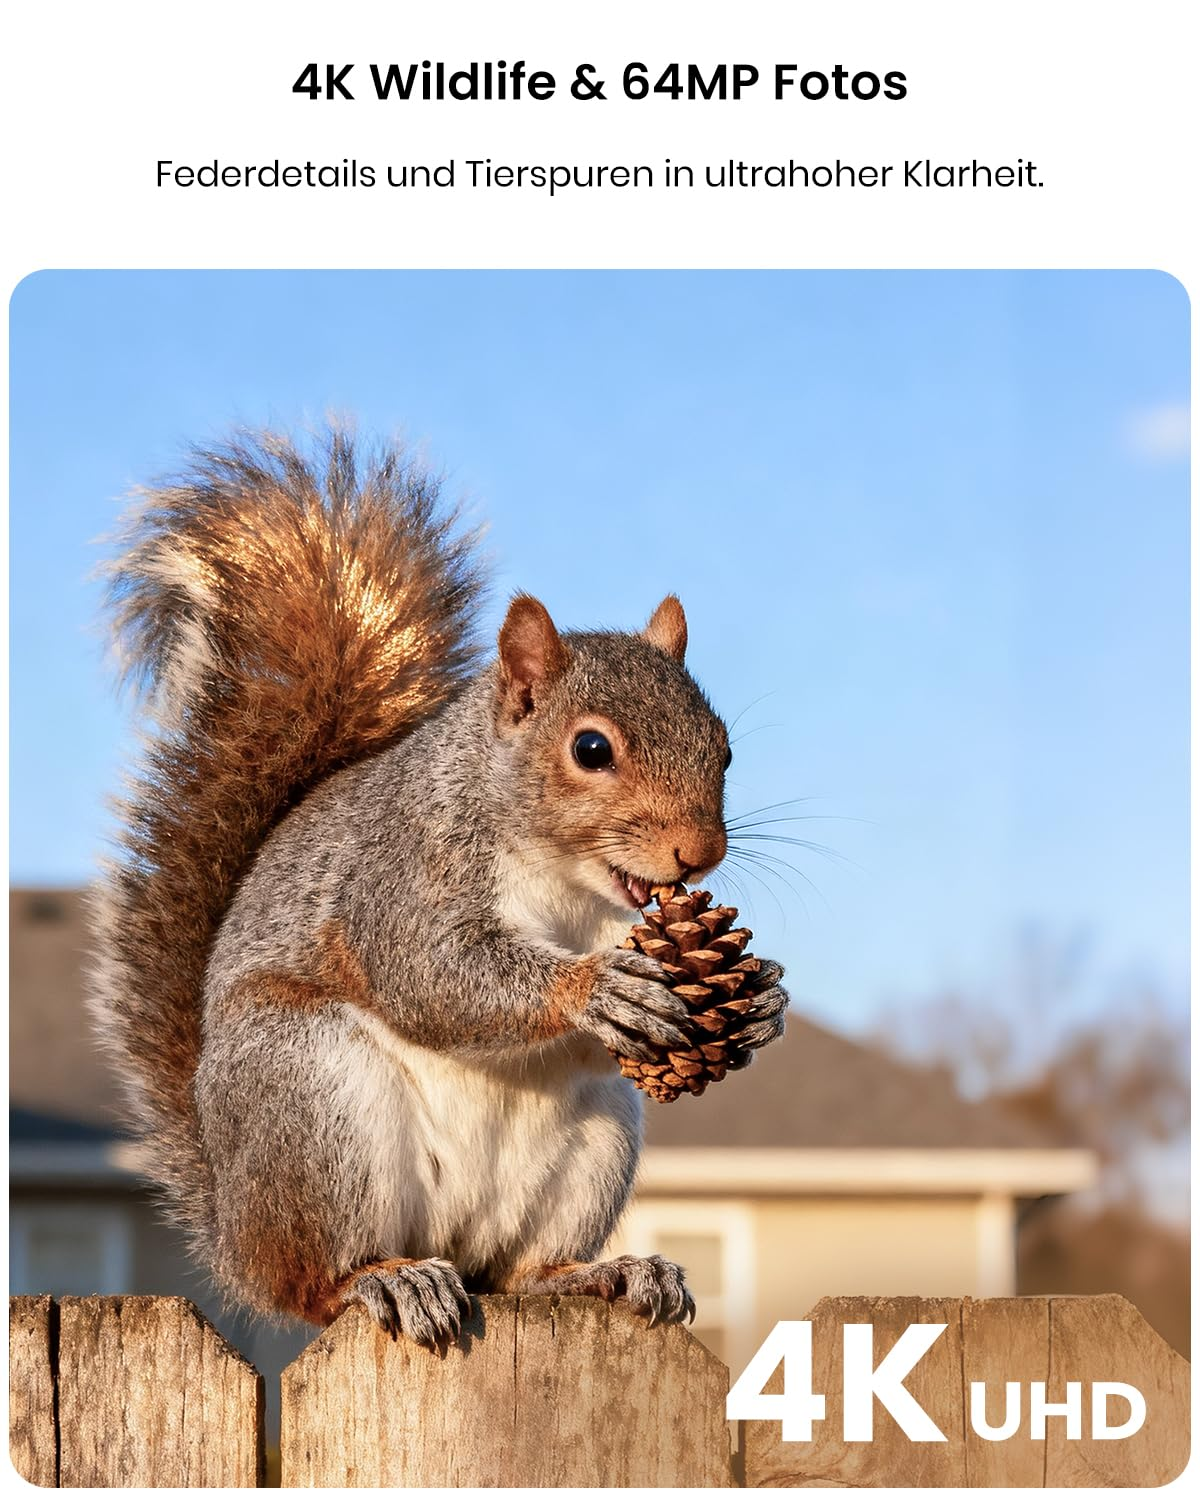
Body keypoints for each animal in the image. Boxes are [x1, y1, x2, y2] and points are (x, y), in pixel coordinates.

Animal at [88, 428, 789, 1346]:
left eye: (724, 747)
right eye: (591, 749)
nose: (699, 853)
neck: (564, 881)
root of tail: (235, 1236)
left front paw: (763, 1000)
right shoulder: (402, 874)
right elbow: (431, 970)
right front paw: (598, 987)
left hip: (597, 1145)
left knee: (521, 1271)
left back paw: (600, 1272)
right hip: (311, 1099)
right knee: (309, 1282)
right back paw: (383, 1280)